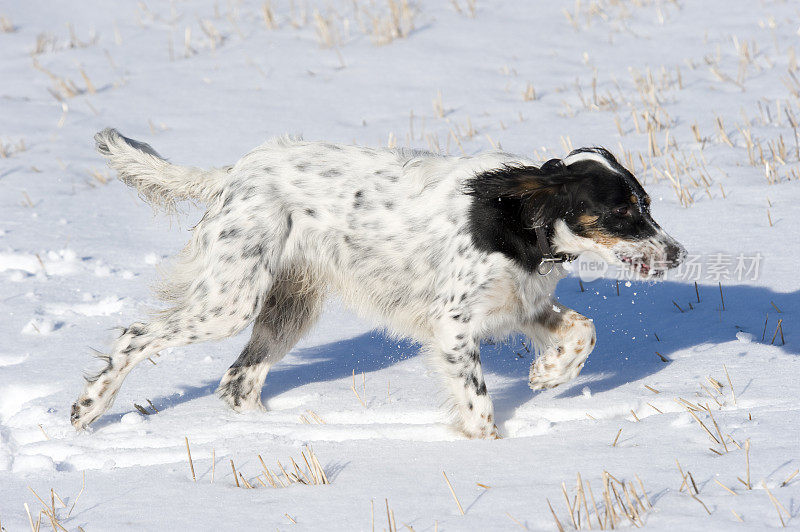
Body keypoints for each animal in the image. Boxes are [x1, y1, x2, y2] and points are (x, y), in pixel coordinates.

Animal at [72, 131, 684, 438]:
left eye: (646, 203)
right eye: (624, 210)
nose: (678, 254)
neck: (513, 218)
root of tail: (235, 171)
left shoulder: (523, 303)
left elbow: (584, 329)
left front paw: (548, 375)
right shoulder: (453, 326)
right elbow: (480, 409)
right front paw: (488, 447)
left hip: (288, 307)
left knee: (237, 382)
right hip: (231, 298)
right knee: (135, 335)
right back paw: (88, 409)